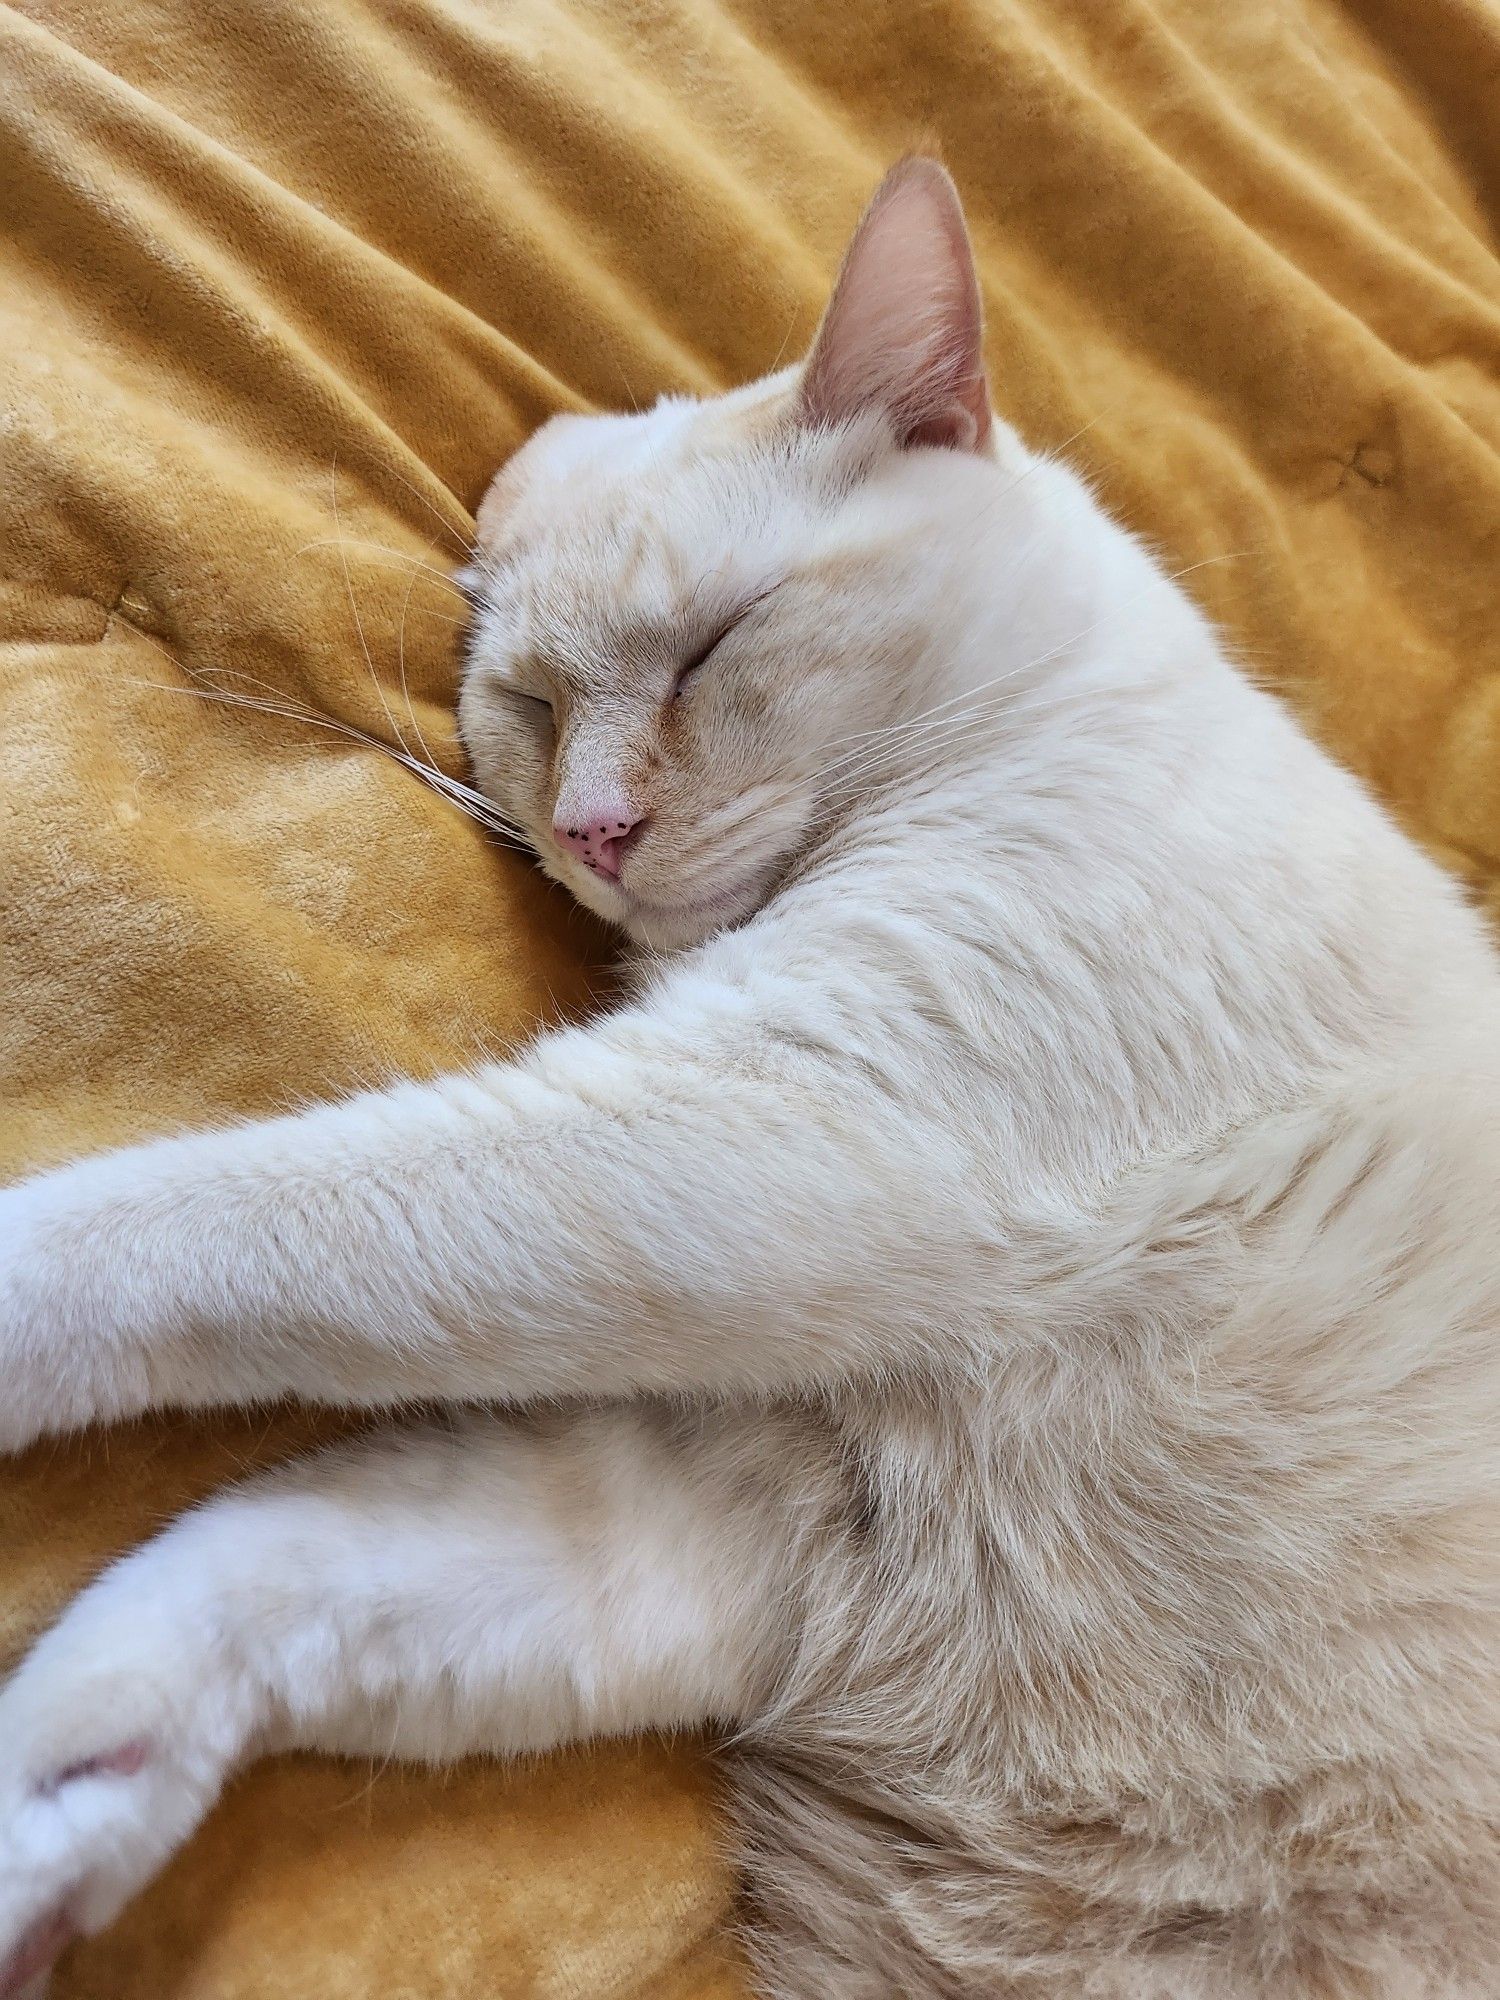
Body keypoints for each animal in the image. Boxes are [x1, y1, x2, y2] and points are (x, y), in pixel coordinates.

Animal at [2, 160, 1500, 2000]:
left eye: (712, 650)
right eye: (529, 700)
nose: (590, 831)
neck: (1043, 713)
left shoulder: (788, 1119)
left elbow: (191, 1228)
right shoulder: (724, 1511)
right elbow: (248, 1567)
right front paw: (46, 1823)